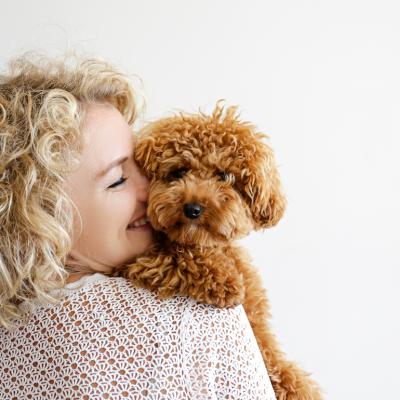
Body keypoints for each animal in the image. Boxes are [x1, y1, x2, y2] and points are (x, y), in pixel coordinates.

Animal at [118, 104, 322, 400]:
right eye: (180, 171)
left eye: (224, 176)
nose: (192, 208)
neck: (207, 244)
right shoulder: (134, 262)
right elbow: (178, 256)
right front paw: (225, 281)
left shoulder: (259, 328)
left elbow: (280, 367)